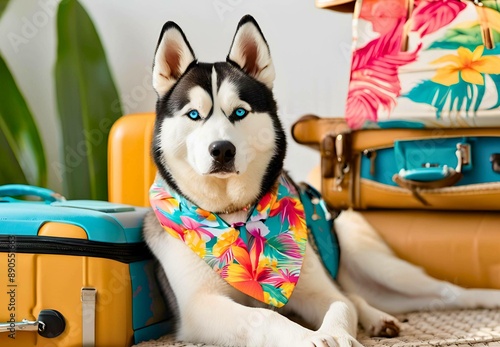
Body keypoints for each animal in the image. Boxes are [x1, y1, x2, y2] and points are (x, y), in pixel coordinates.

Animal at [143, 14, 500, 346]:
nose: (222, 150)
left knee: (441, 291)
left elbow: (339, 306)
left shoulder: (314, 287)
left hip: (380, 265)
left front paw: (336, 334)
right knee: (360, 295)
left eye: (240, 113)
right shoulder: (199, 307)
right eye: (193, 114)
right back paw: (378, 317)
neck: (237, 217)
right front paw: (306, 337)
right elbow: (264, 316)